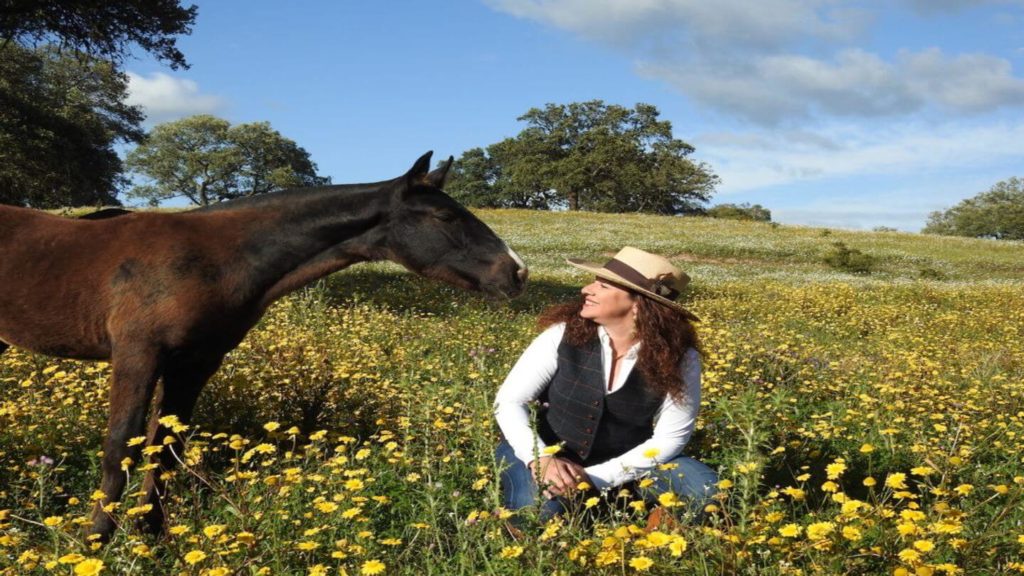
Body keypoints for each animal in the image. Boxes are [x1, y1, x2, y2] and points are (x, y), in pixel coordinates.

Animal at [0, 151, 528, 541]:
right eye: (444, 216)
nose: (516, 272)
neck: (212, 260)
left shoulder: (196, 363)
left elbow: (165, 448)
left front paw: (152, 536)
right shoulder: (137, 355)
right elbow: (120, 448)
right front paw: (96, 541)